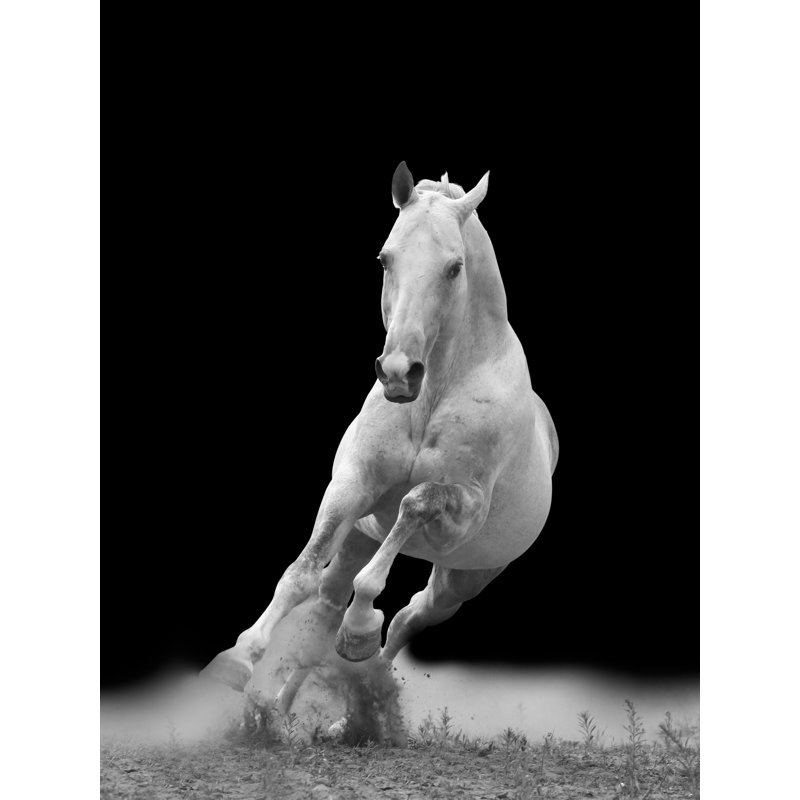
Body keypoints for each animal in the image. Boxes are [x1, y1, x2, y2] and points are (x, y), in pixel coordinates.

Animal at [200, 162, 559, 711]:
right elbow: (300, 574)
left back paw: (355, 684)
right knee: (326, 605)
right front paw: (237, 659)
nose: (397, 373)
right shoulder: (353, 485)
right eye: (385, 259)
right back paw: (280, 712)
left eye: (455, 268)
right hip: (359, 539)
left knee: (411, 616)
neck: (433, 395)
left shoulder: (463, 512)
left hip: (460, 581)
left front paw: (361, 628)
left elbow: (414, 506)